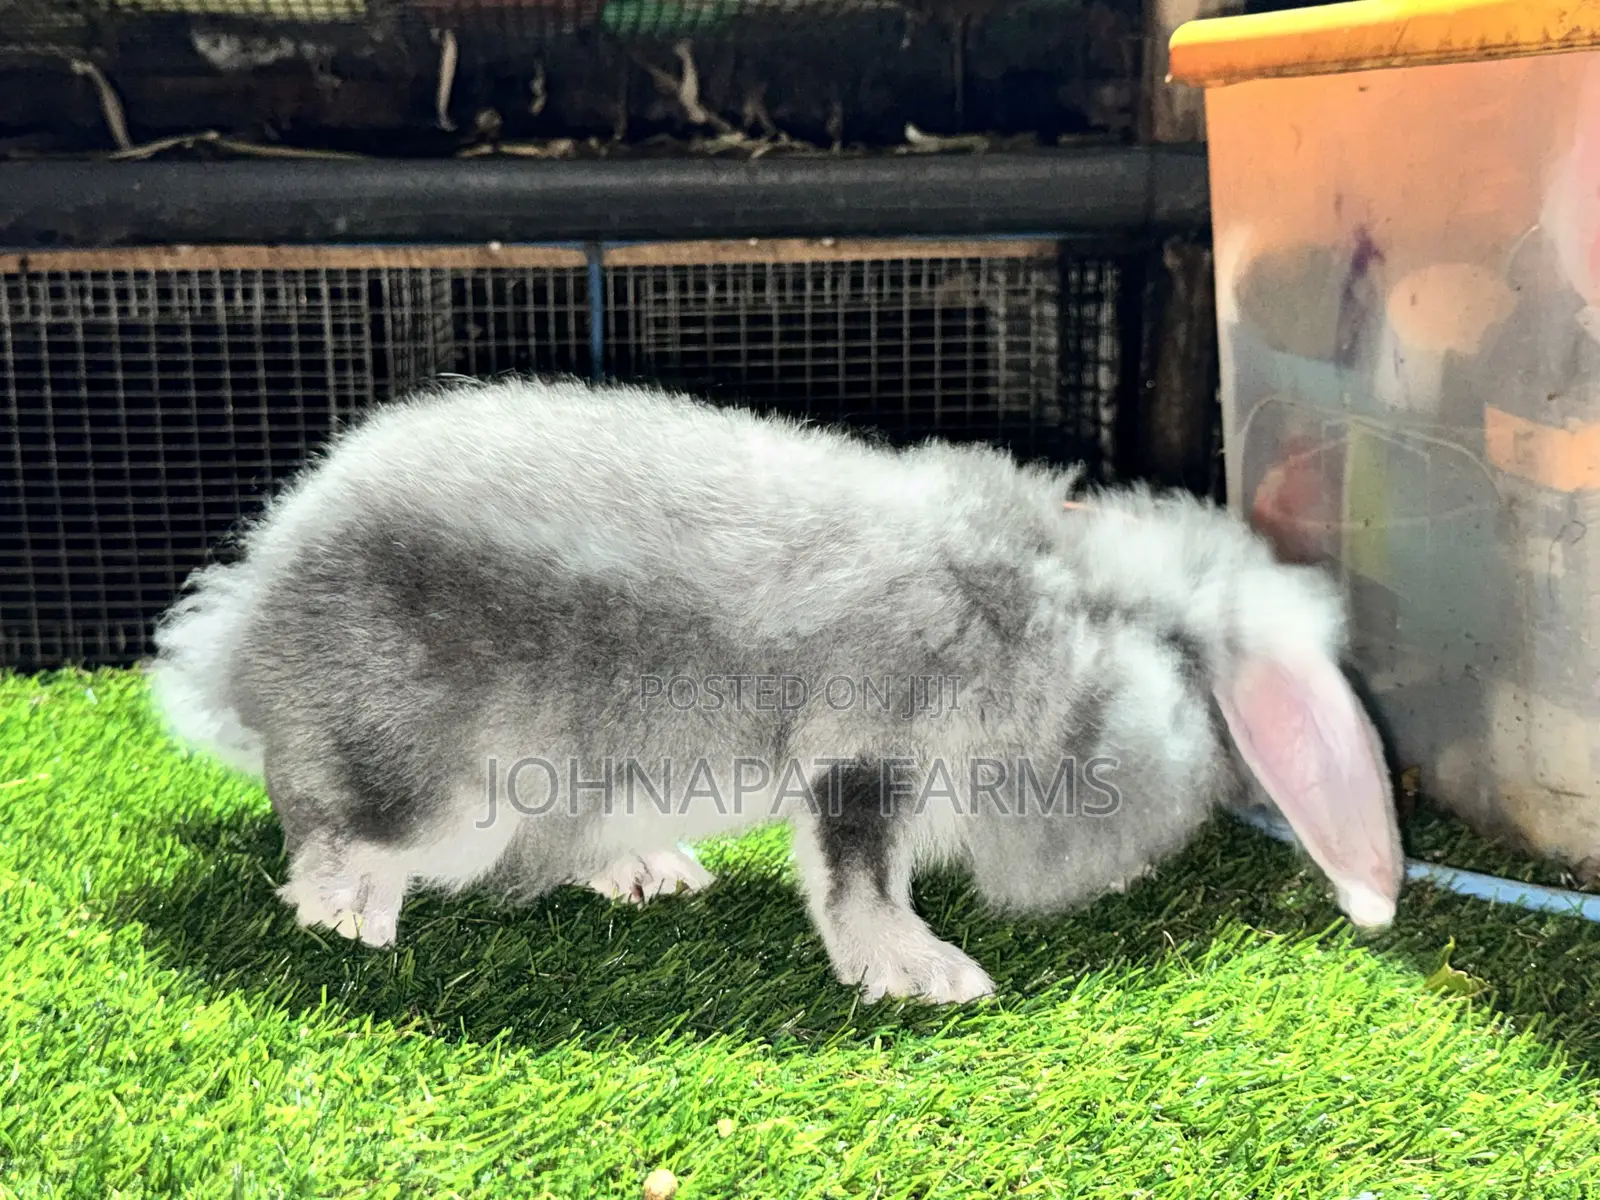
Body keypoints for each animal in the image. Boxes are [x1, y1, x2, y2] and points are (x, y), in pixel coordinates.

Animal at [148, 374, 1405, 1005]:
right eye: (1191, 670)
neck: (1053, 610)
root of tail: (245, 622)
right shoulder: (868, 756)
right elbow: (857, 882)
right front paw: (929, 979)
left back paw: (650, 873)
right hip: (432, 783)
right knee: (330, 826)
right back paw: (347, 915)